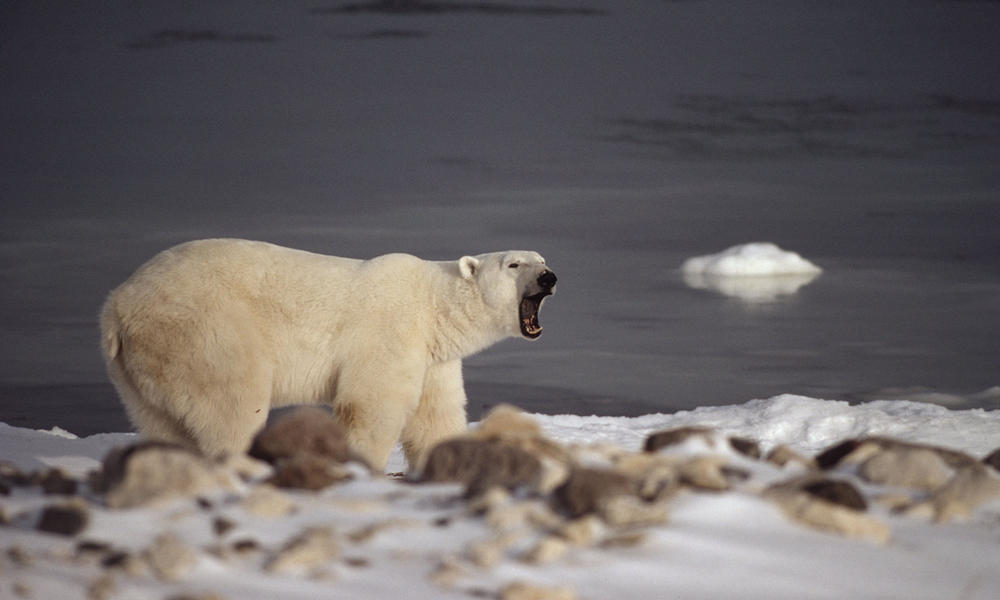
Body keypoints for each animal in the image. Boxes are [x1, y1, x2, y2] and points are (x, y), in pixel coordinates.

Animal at [98, 238, 560, 468]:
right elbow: (373, 404)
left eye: (541, 258)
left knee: (159, 422)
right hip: (204, 330)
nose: (549, 276)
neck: (432, 303)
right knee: (232, 403)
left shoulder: (434, 356)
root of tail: (117, 306)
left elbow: (436, 415)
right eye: (514, 265)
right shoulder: (389, 330)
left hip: (141, 366)